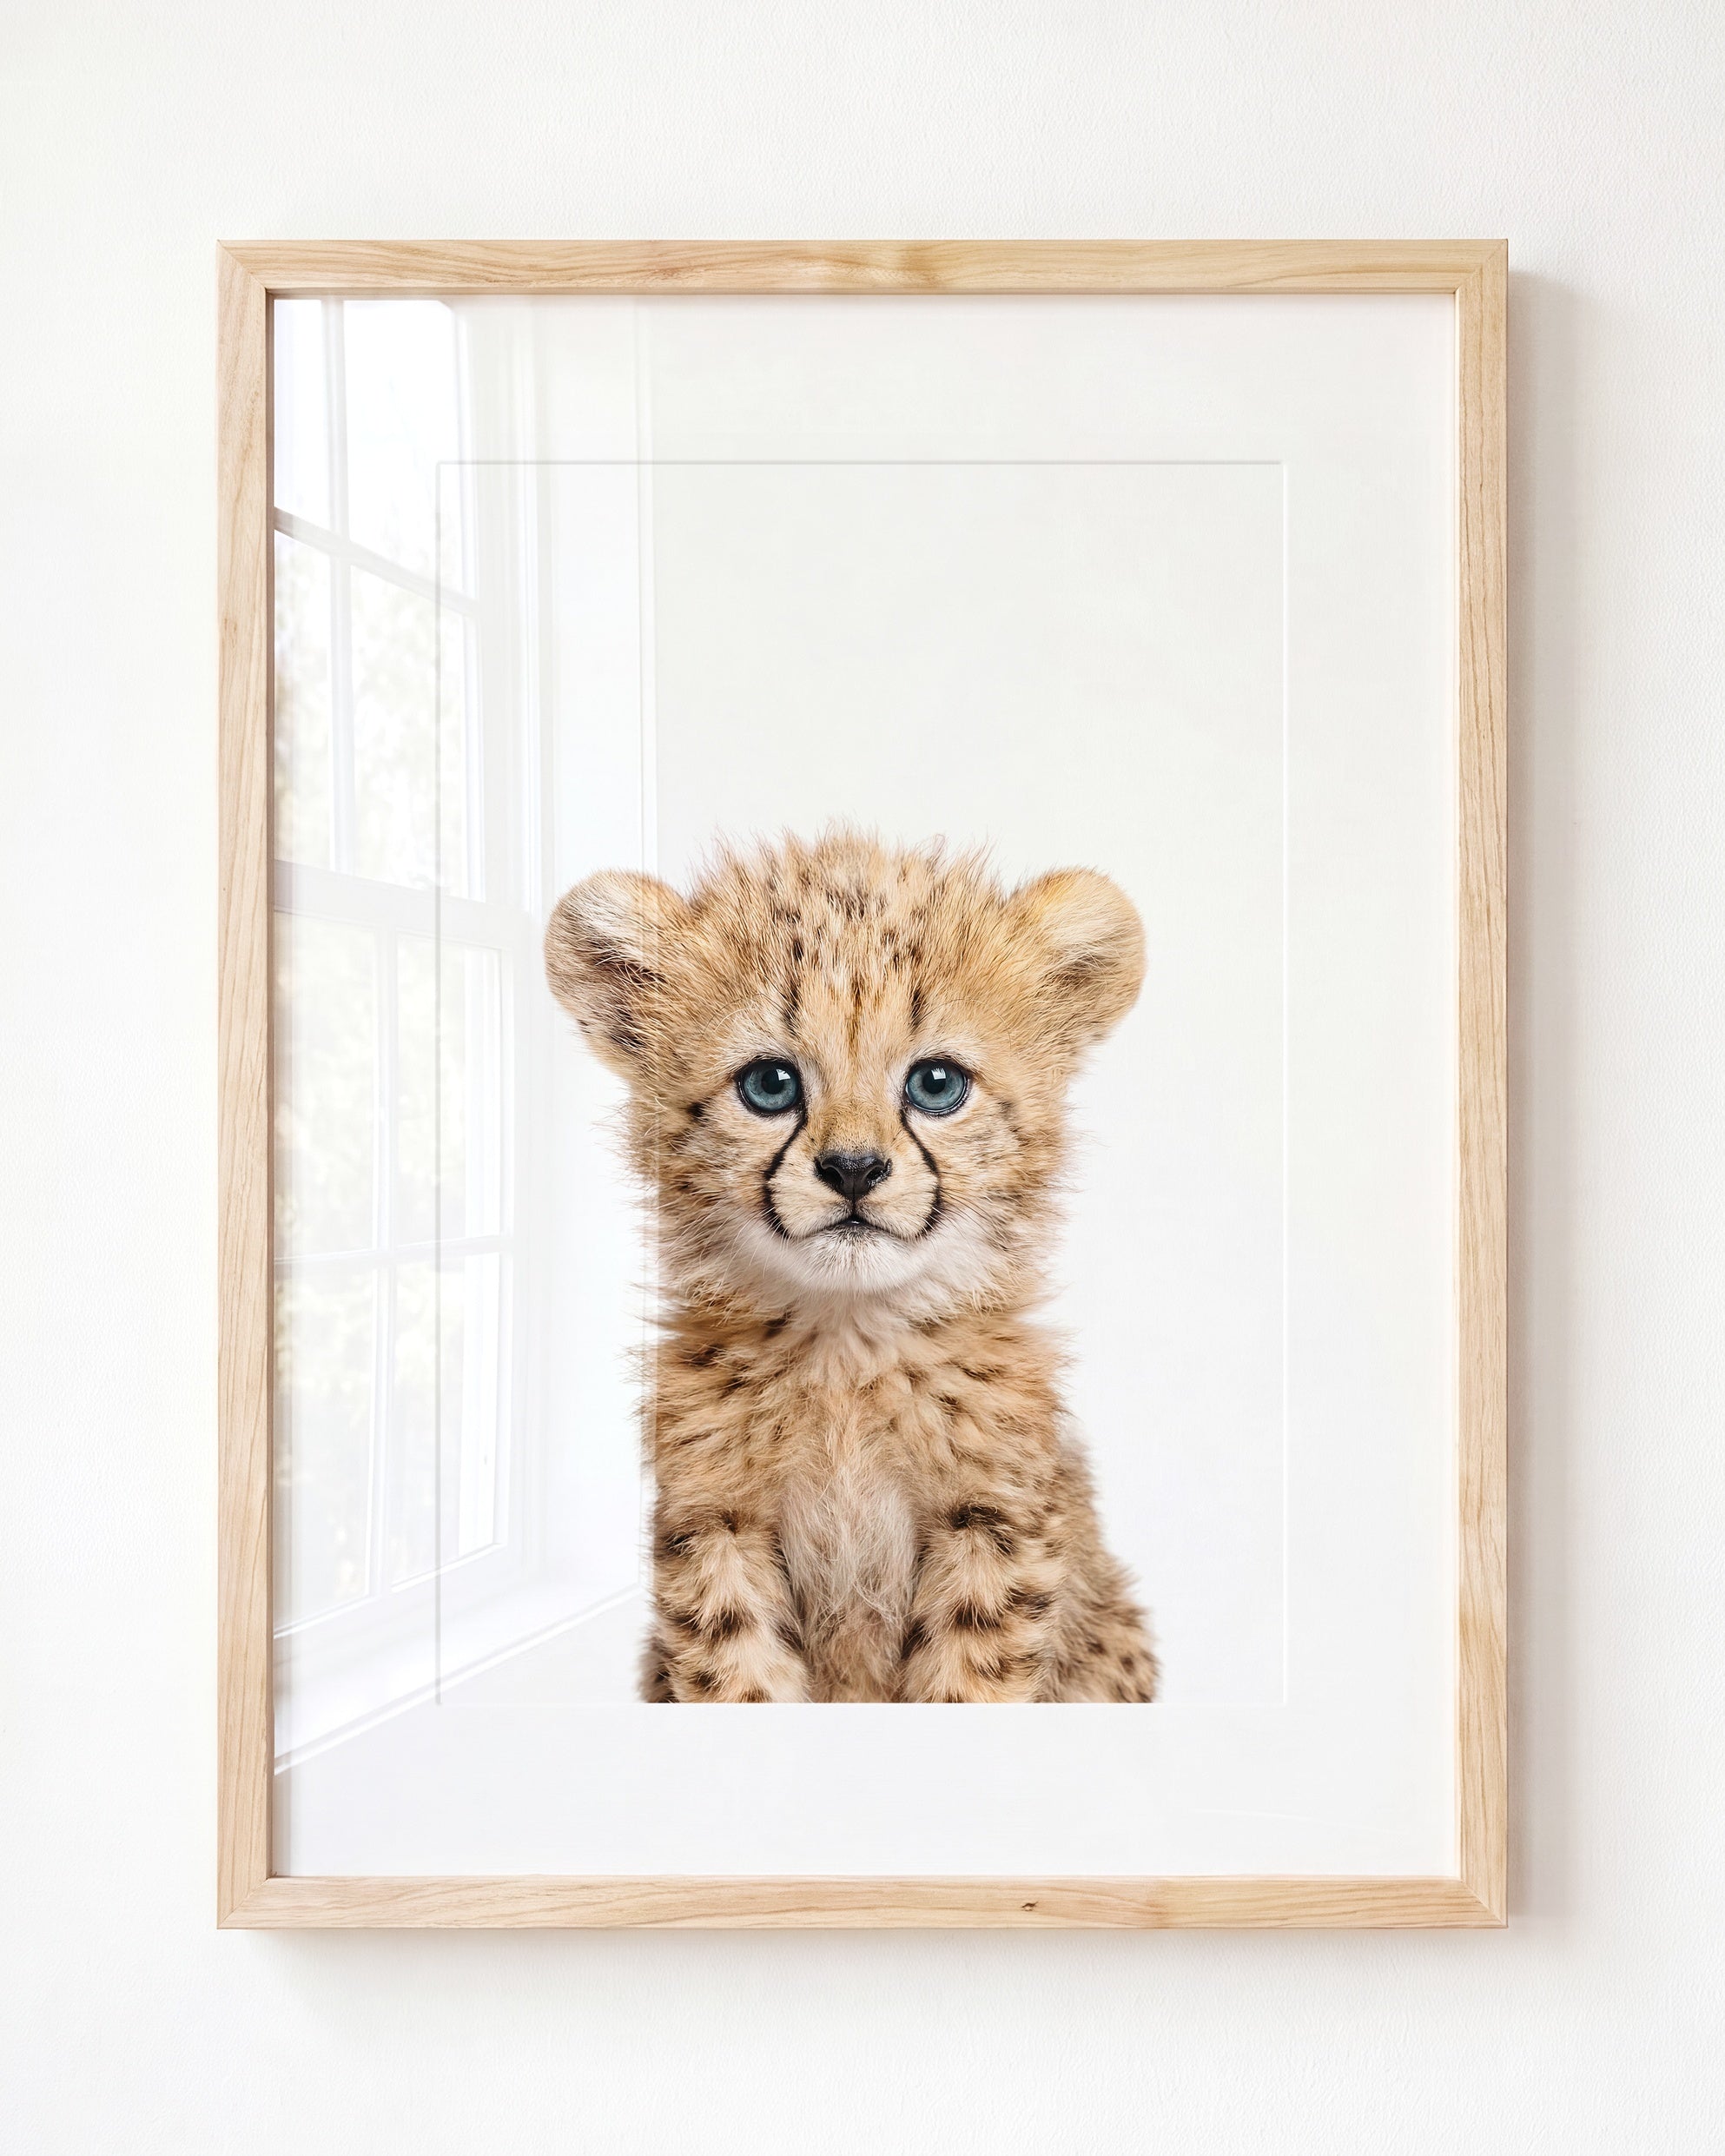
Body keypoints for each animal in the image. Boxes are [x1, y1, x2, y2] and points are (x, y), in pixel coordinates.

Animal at [544, 828, 1159, 1703]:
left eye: (936, 1084)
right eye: (770, 1084)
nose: (854, 1169)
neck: (847, 1345)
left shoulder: (993, 1524)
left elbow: (969, 1681)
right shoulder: (716, 1525)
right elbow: (739, 1676)